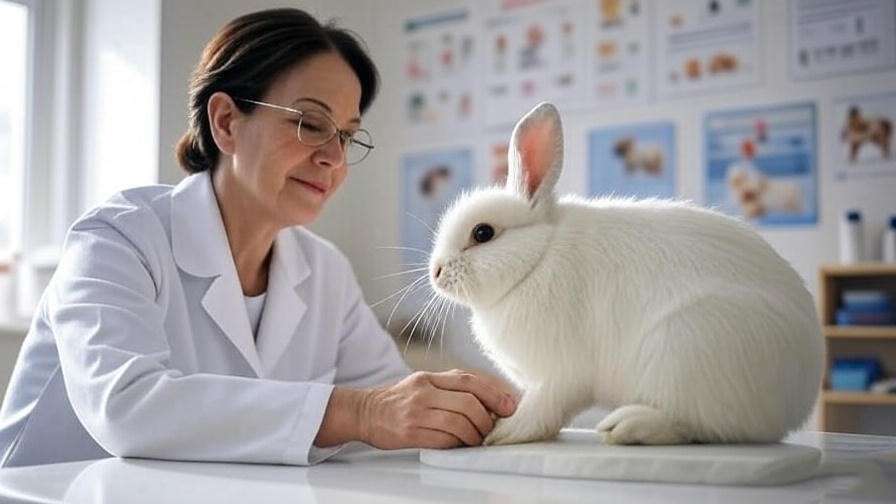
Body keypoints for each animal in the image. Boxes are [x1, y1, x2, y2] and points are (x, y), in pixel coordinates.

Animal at [428, 102, 824, 447]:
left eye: (482, 233)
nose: (436, 273)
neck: (537, 258)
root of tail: (797, 399)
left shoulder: (560, 376)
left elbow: (543, 411)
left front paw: (503, 432)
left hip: (685, 352)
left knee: (699, 426)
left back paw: (628, 426)